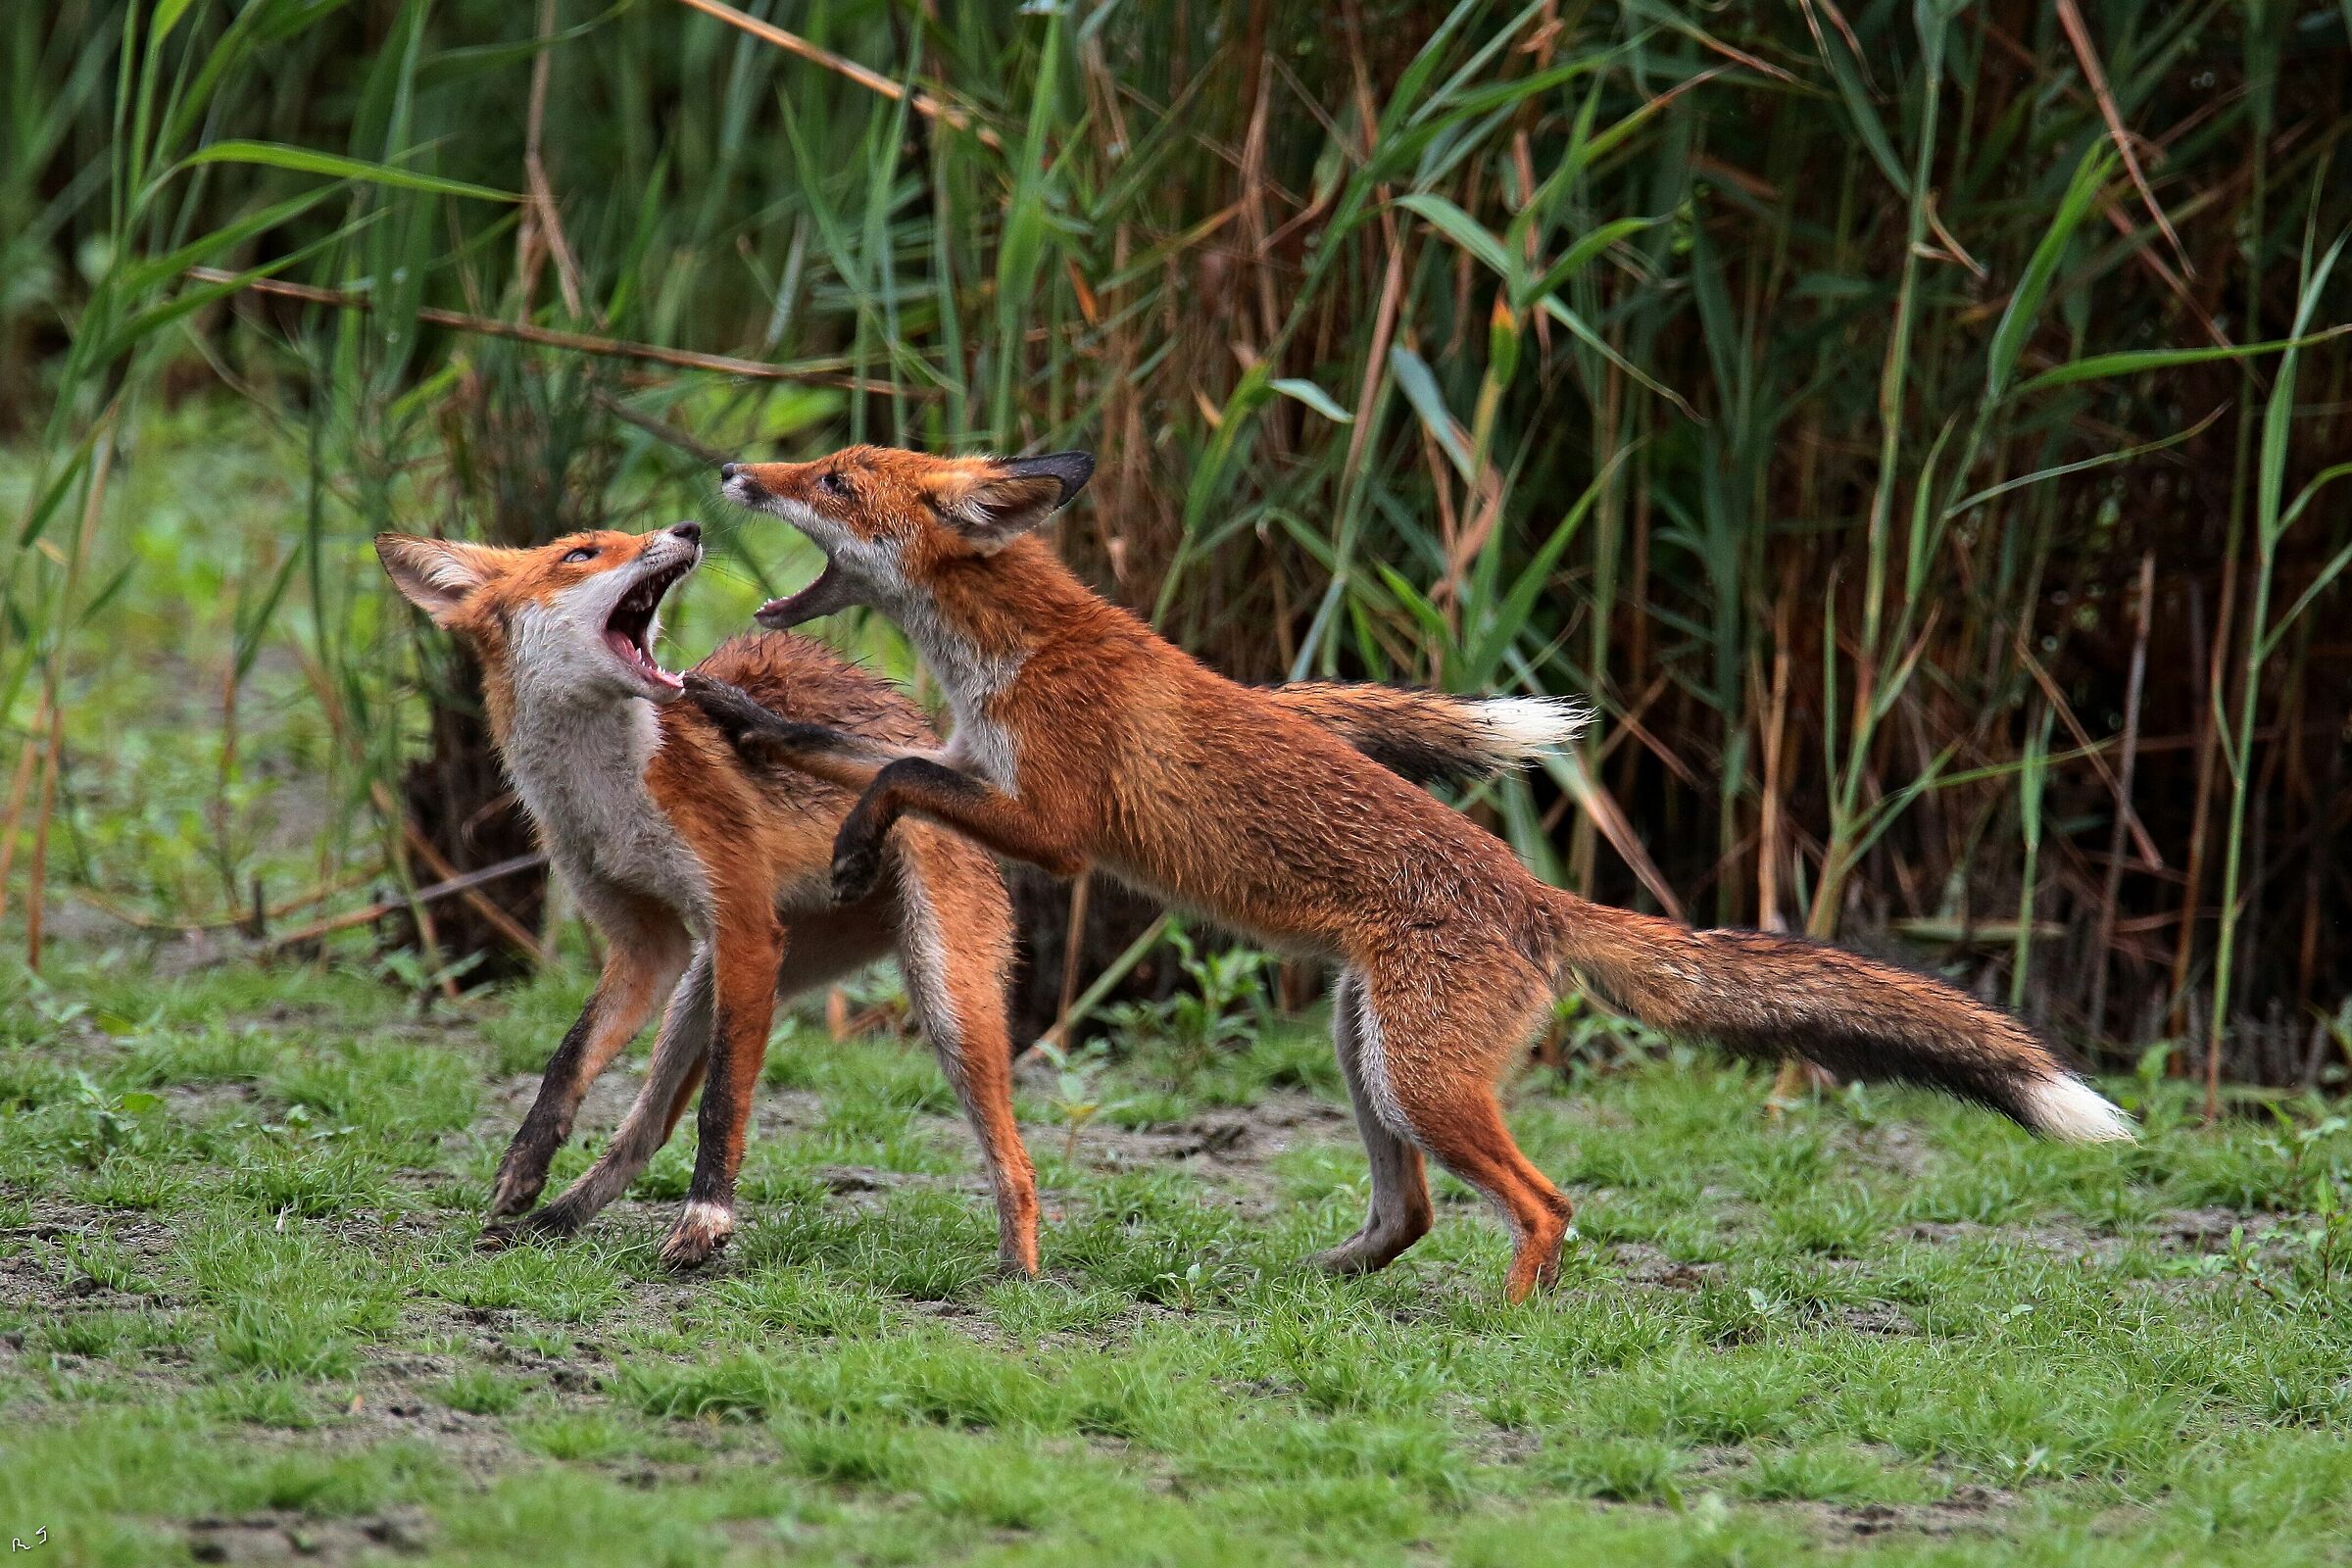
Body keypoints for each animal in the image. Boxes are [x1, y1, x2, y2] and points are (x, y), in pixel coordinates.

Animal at [374, 520, 1563, 1274]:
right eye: (583, 552)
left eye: (628, 538)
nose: (688, 525)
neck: (606, 786)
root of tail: (946, 740)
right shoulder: (648, 947)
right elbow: (565, 1071)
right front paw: (516, 1186)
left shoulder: (740, 921)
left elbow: (727, 1113)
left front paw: (708, 1226)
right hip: (710, 988)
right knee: (639, 1128)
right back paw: (562, 1219)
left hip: (935, 994)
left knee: (1013, 1159)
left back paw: (1021, 1274)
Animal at [694, 444, 2135, 1303]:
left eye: (834, 476)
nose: (732, 466)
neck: (1010, 654)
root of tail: (1537, 900)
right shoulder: (966, 758)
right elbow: (853, 750)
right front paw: (743, 718)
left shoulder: (1051, 828)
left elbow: (891, 775)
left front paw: (851, 838)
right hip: (1371, 1055)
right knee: (1416, 1213)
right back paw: (1325, 1282)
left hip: (1423, 1077)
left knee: (1547, 1205)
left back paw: (1509, 1327)